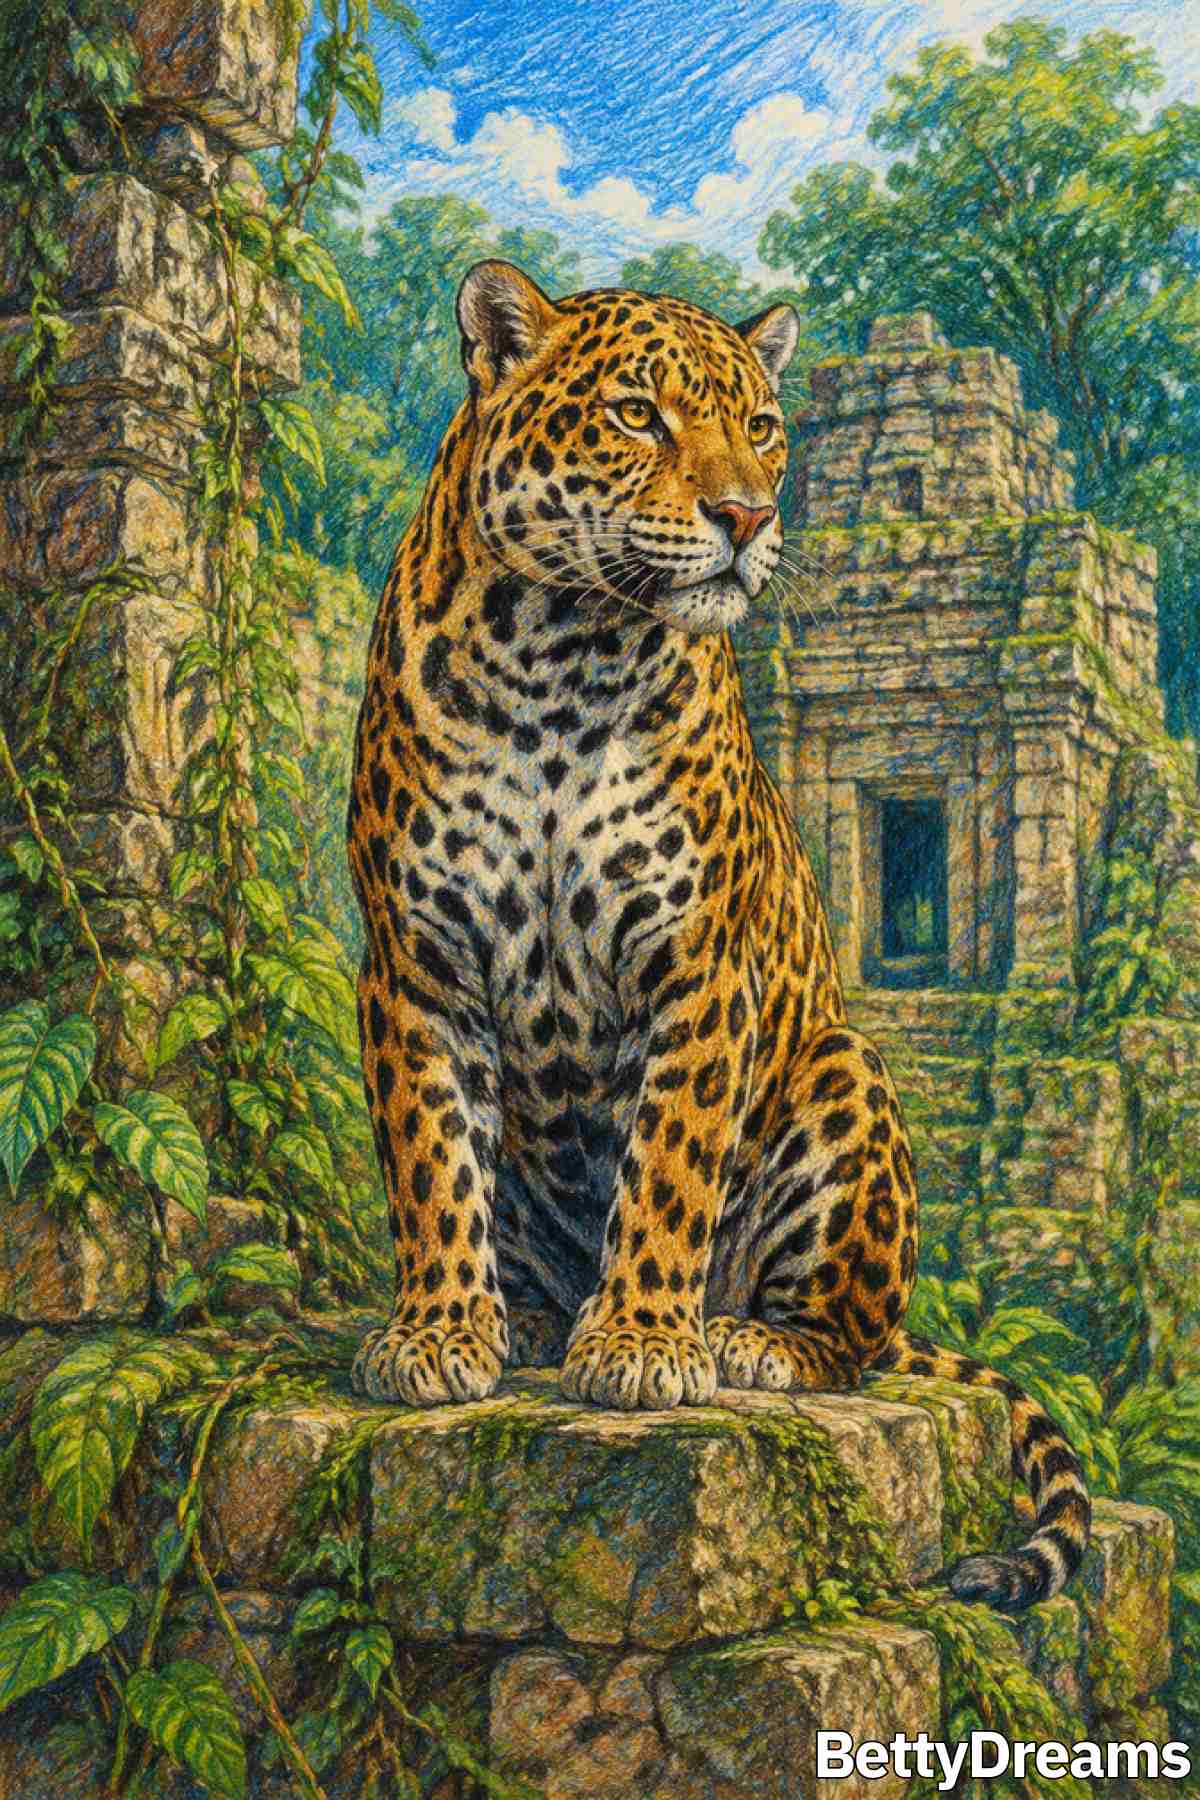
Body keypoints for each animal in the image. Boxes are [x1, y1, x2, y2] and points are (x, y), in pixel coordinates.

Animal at [345, 258, 1090, 1611]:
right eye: (637, 416)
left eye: (761, 425)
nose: (745, 516)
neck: (558, 662)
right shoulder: (415, 962)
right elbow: (432, 1165)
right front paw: (438, 1333)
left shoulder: (698, 967)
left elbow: (670, 1168)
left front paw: (645, 1343)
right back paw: (532, 1322)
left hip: (845, 1077)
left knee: (851, 1335)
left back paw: (745, 1338)